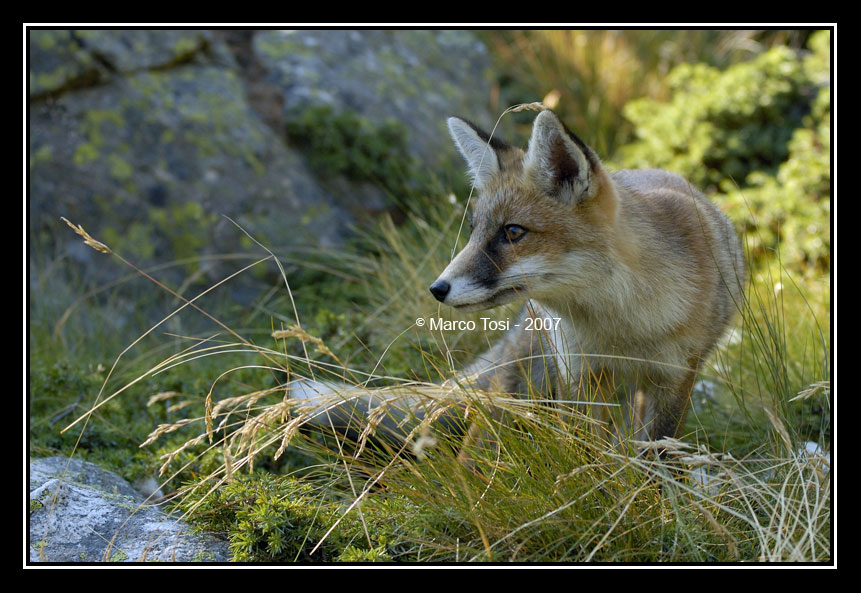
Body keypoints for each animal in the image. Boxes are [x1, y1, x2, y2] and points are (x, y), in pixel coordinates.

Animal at [292, 108, 744, 456]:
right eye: (473, 230)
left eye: (512, 232)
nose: (437, 289)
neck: (621, 328)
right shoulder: (580, 373)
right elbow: (585, 449)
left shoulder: (675, 378)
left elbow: (657, 455)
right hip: (527, 380)